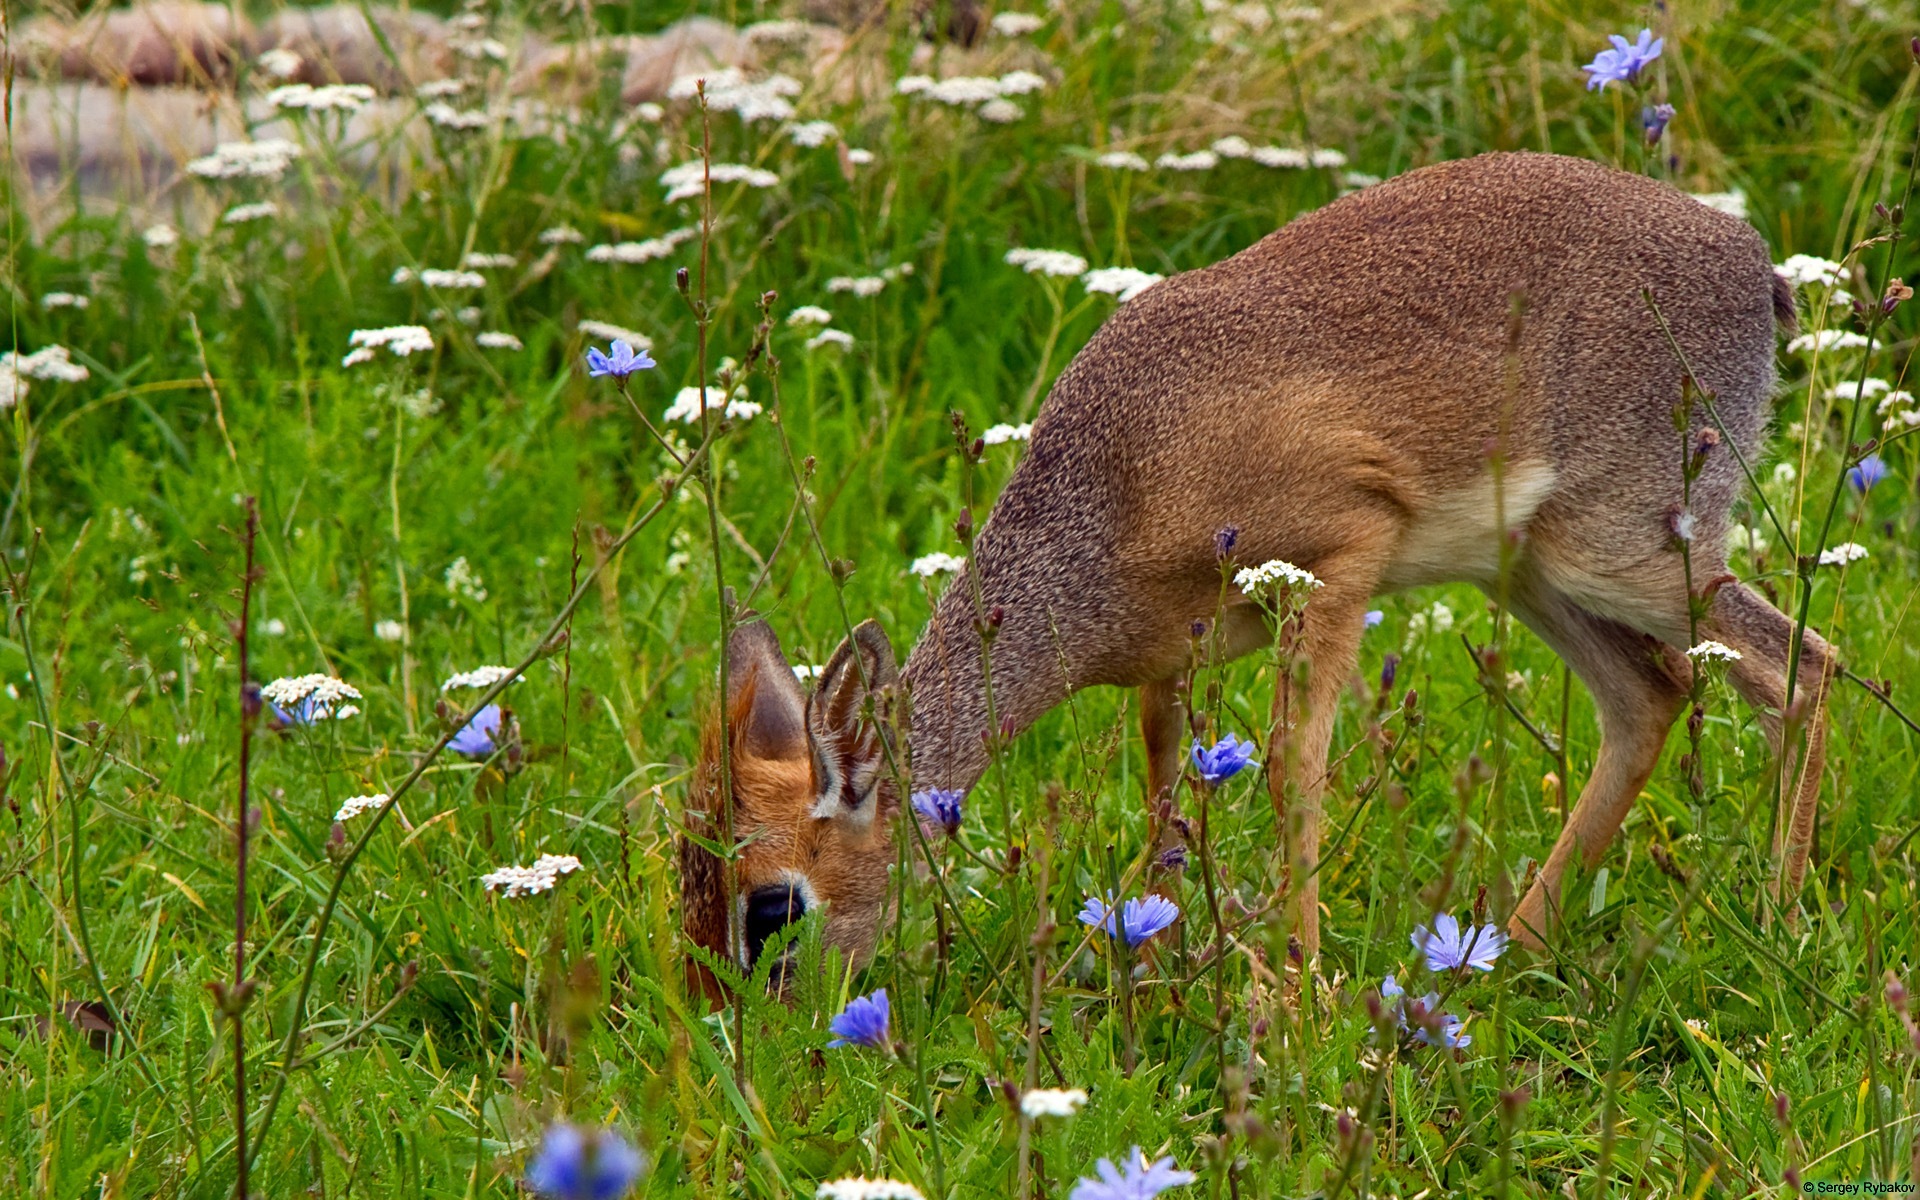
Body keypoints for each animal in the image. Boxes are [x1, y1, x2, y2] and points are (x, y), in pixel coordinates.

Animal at [683, 151, 1835, 990]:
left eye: (772, 902)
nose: (760, 1042)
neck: (1116, 486)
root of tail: (1755, 266)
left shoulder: (1339, 557)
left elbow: (1293, 769)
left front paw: (1300, 990)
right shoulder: (1168, 663)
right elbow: (1163, 790)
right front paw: (1151, 960)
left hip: (1626, 551)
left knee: (1802, 666)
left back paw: (1778, 930)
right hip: (1533, 574)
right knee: (1653, 697)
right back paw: (1510, 950)